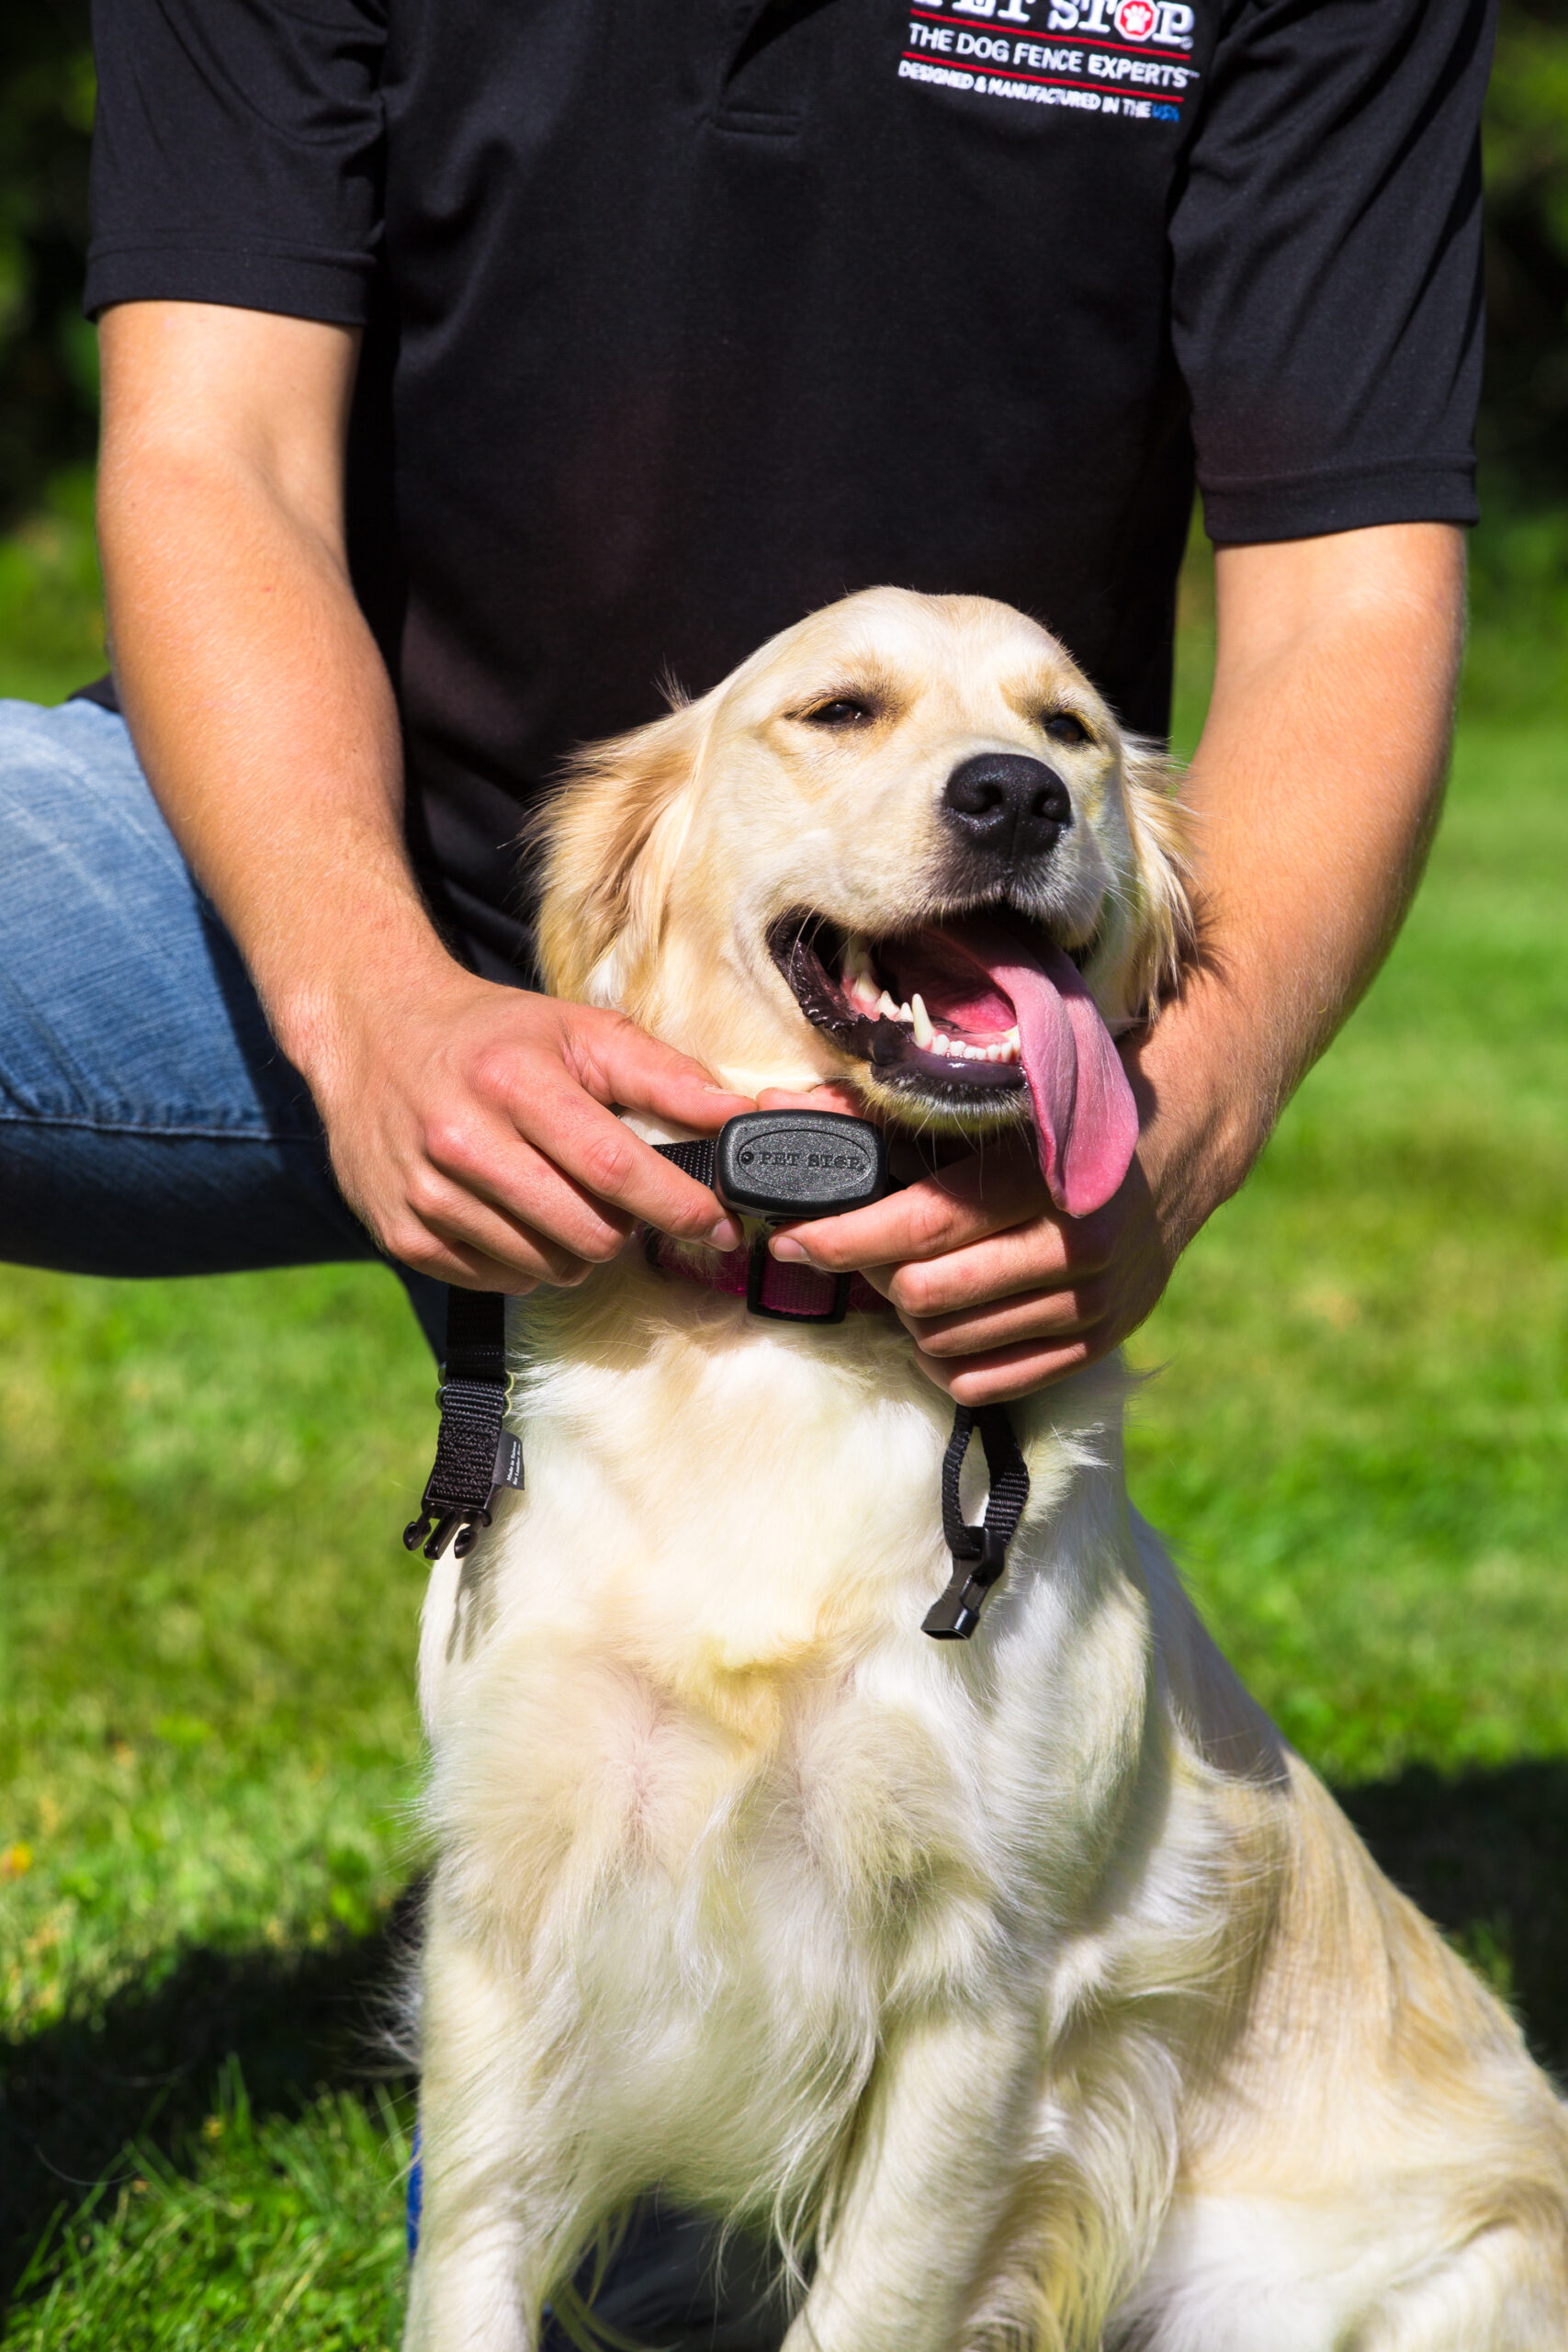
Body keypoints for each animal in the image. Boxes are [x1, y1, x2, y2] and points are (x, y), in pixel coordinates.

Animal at [404, 593, 1568, 2352]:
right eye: (836, 710)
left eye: (1067, 727)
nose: (1014, 797)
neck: (793, 1339)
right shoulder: (511, 1903)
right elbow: (464, 2269)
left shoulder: (987, 1982)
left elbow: (873, 2301)